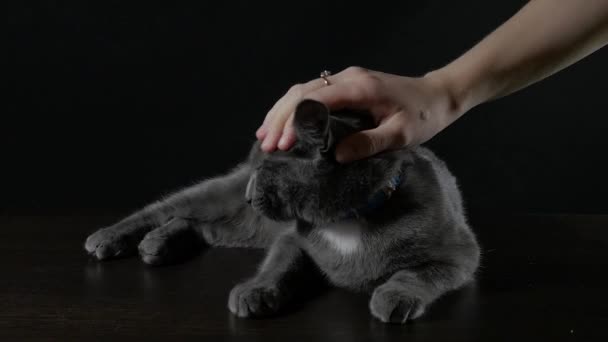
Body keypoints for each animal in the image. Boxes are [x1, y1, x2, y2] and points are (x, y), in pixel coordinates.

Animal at [84, 99, 480, 324]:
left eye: (266, 170)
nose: (249, 195)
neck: (347, 221)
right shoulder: (292, 238)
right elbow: (280, 264)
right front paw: (255, 292)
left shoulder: (461, 254)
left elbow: (420, 274)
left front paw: (393, 296)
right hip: (223, 200)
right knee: (166, 208)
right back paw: (110, 237)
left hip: (249, 227)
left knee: (202, 227)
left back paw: (158, 244)